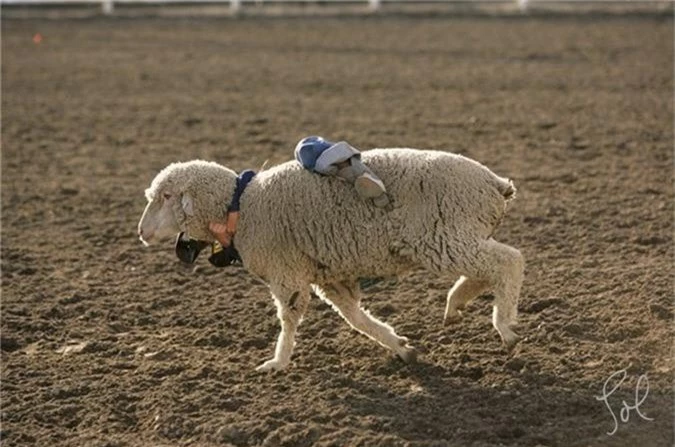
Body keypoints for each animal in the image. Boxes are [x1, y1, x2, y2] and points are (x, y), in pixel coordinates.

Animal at [140, 149, 524, 372]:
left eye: (166, 196)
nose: (141, 232)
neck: (242, 206)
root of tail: (495, 184)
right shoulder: (329, 275)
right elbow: (355, 317)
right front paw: (399, 346)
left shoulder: (287, 272)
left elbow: (289, 318)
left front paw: (278, 362)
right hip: (456, 236)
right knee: (487, 268)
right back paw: (457, 303)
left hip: (443, 236)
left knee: (509, 261)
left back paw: (504, 325)